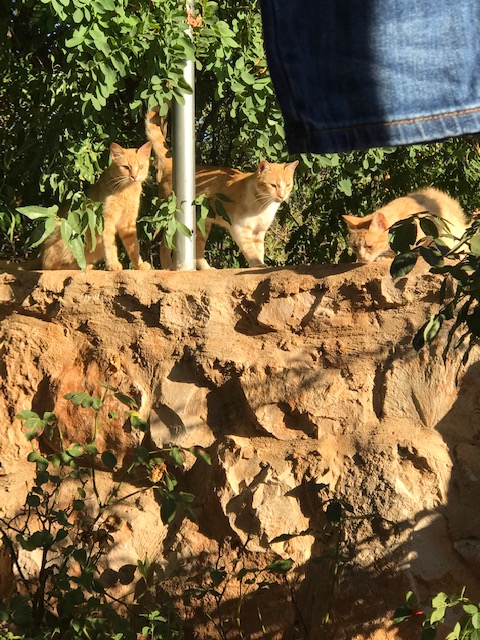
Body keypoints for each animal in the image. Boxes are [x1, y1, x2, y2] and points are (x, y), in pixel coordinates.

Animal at [41, 141, 152, 270]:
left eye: (141, 166)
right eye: (126, 167)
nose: (134, 177)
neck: (125, 190)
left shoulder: (128, 224)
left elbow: (133, 247)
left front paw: (139, 265)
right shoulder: (106, 220)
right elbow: (109, 245)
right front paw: (113, 264)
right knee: (53, 266)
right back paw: (86, 267)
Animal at [145, 106, 298, 270]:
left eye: (288, 185)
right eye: (273, 185)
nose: (282, 196)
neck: (263, 205)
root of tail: (172, 164)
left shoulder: (259, 232)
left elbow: (259, 250)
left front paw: (260, 264)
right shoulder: (240, 229)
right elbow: (251, 251)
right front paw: (258, 265)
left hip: (202, 225)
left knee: (197, 249)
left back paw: (206, 268)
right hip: (174, 221)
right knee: (164, 245)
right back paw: (168, 268)